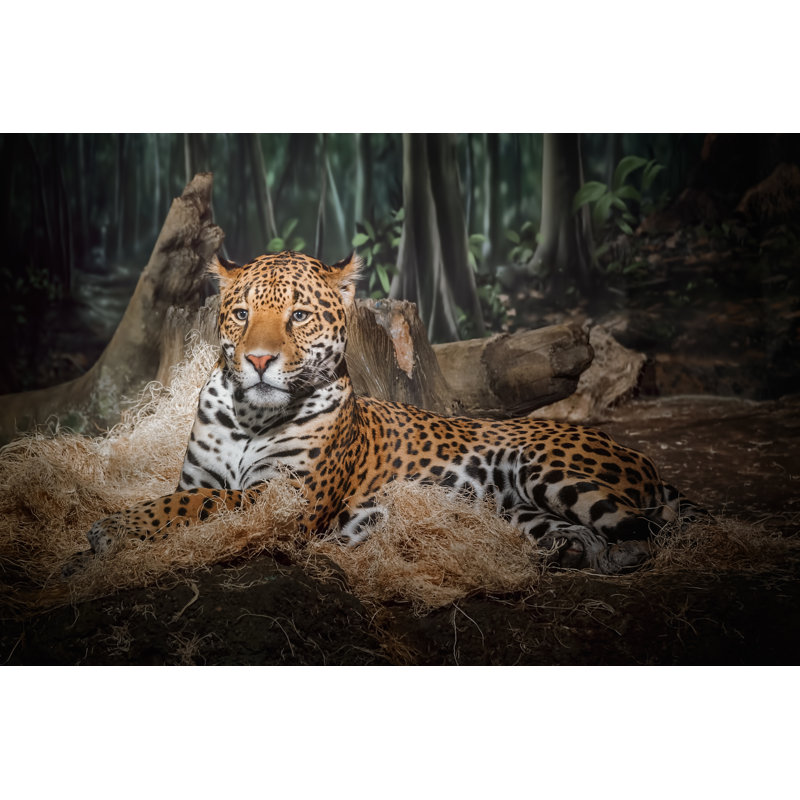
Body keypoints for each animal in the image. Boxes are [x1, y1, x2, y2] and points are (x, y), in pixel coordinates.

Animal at [68, 249, 702, 576]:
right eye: (241, 313)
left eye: (299, 316)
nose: (258, 360)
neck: (249, 420)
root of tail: (642, 458)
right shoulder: (200, 475)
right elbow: (187, 497)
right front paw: (86, 553)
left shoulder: (290, 498)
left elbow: (199, 504)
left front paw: (111, 529)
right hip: (521, 507)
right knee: (584, 530)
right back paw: (572, 551)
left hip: (543, 467)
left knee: (643, 528)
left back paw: (618, 554)